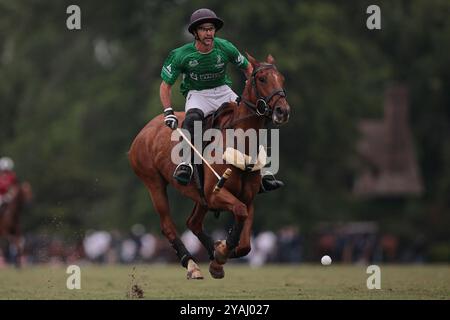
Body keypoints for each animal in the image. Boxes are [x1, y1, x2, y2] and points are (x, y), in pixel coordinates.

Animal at [128, 53, 290, 278]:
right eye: (262, 79)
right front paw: (220, 252)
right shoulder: (215, 193)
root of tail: (144, 130)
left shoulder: (247, 198)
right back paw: (192, 264)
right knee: (168, 225)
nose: (283, 111)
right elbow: (239, 212)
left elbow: (245, 243)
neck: (239, 142)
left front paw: (219, 254)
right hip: (153, 182)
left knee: (193, 223)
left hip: (200, 196)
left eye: (281, 78)